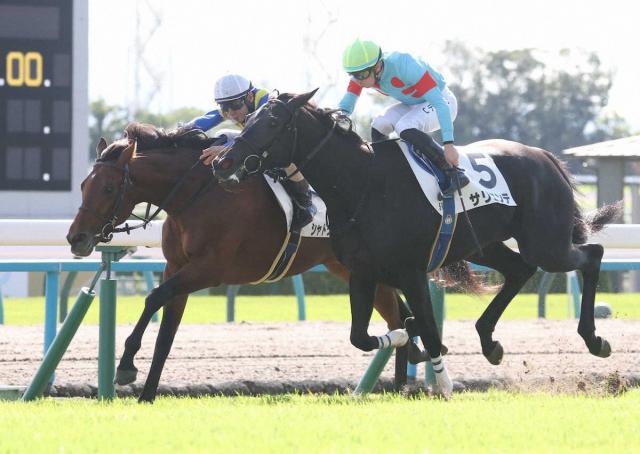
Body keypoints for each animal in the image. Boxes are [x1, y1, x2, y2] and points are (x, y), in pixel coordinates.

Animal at [66, 123, 411, 403]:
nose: (75, 238)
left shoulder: (210, 270)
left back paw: (408, 383)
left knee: (399, 315)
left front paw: (126, 367)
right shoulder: (175, 267)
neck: (195, 195)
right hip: (350, 268)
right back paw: (407, 378)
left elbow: (153, 298)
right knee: (400, 315)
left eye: (108, 188)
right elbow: (166, 333)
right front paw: (147, 395)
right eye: (83, 185)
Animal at [212, 90, 621, 397]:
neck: (362, 184)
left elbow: (428, 328)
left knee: (591, 255)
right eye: (248, 120)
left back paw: (593, 338)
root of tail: (546, 156)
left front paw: (443, 382)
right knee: (520, 269)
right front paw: (403, 337)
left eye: (273, 122)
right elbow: (362, 336)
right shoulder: (362, 271)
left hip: (545, 242)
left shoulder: (412, 272)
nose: (222, 162)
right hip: (485, 245)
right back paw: (489, 342)